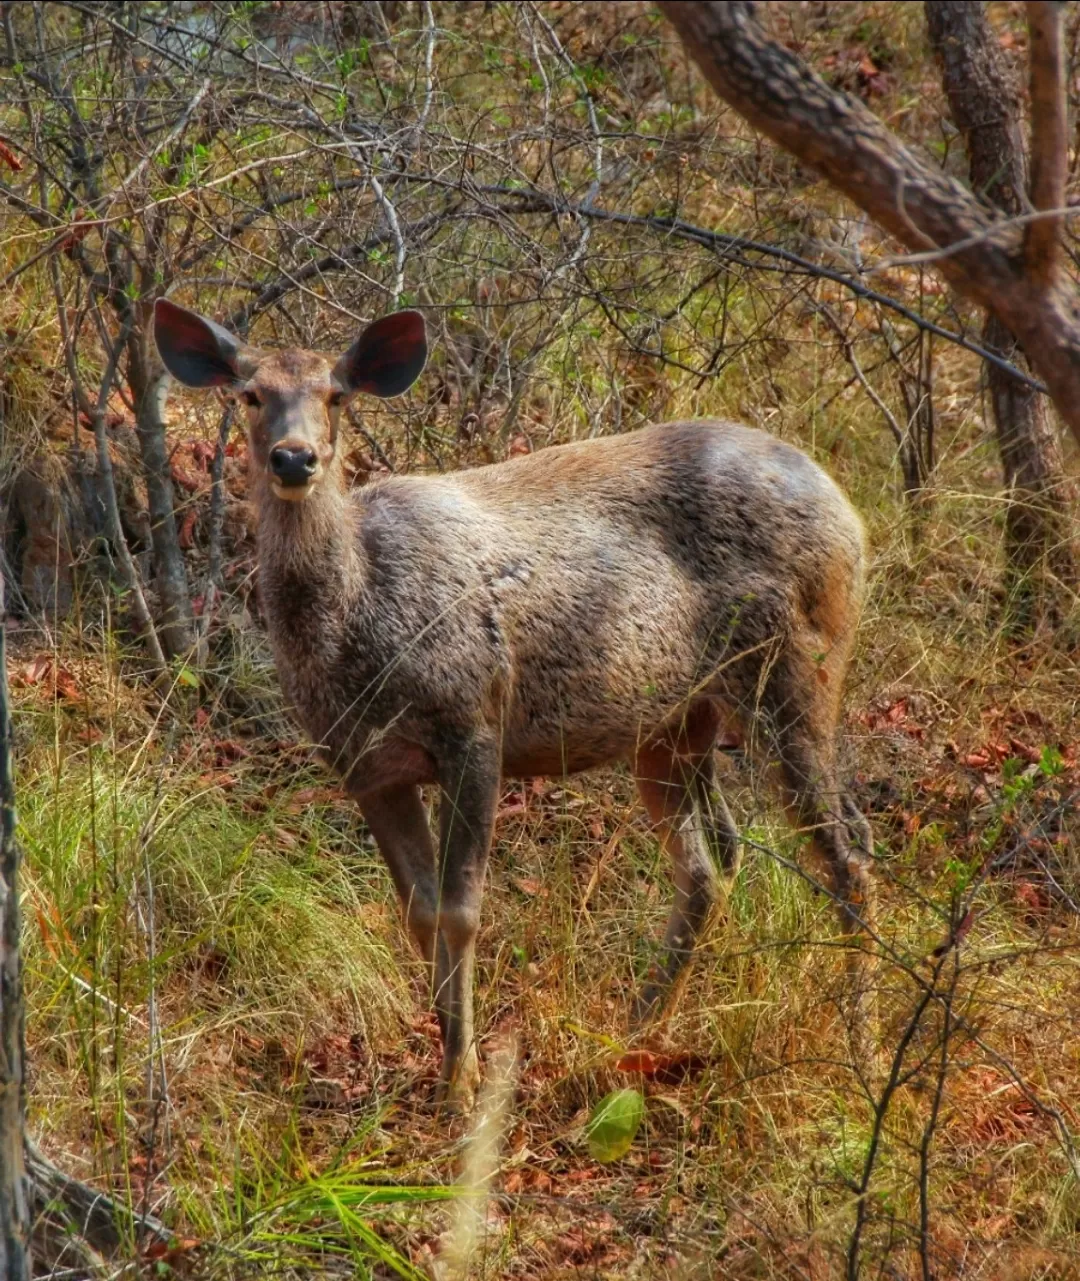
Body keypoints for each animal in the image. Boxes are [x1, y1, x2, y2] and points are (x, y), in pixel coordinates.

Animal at [154, 302, 876, 1111]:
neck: (358, 619)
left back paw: (863, 1050)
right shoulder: (366, 763)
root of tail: (851, 513)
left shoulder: (474, 723)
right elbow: (417, 912)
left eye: (336, 395)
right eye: (250, 394)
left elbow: (461, 912)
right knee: (710, 865)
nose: (293, 459)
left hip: (797, 670)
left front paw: (463, 1082)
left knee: (847, 849)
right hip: (673, 724)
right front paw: (446, 1057)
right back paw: (634, 1034)